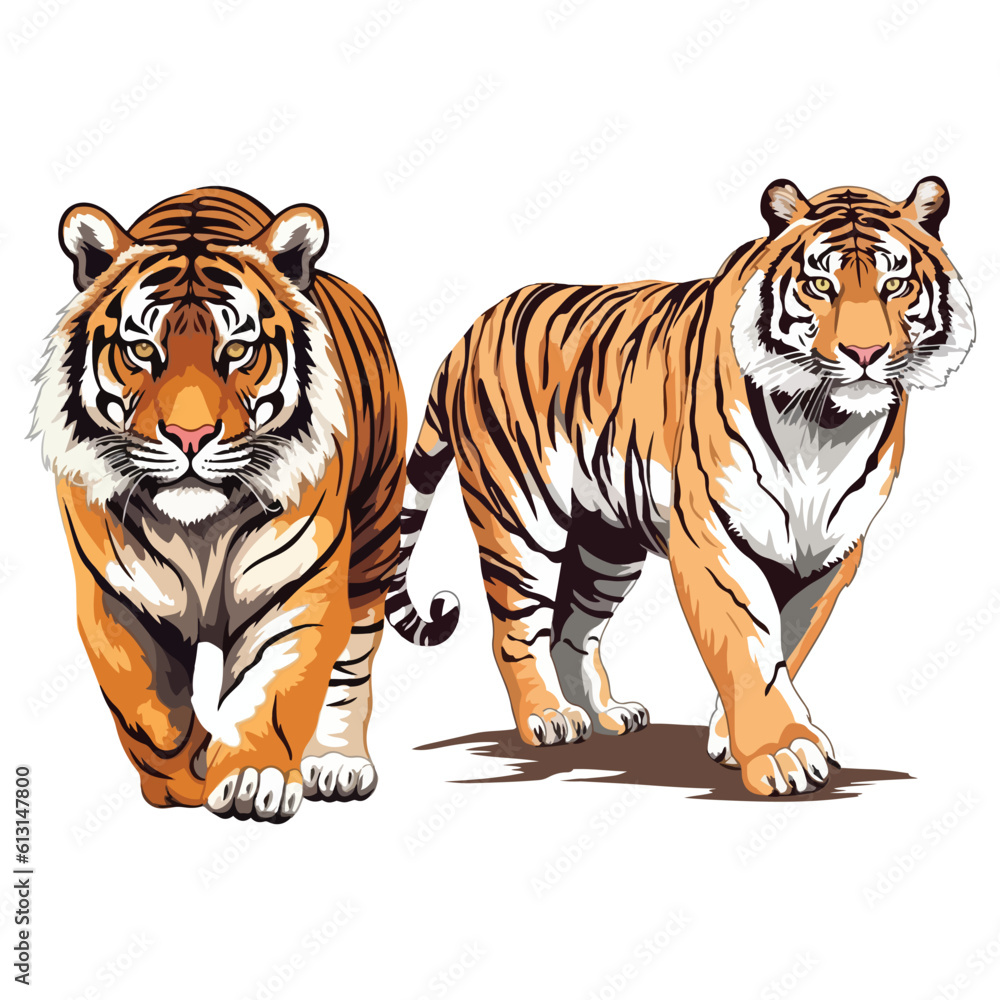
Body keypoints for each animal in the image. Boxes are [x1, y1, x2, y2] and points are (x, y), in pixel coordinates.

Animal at [31, 187, 405, 821]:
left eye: (238, 350)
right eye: (141, 348)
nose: (190, 436)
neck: (199, 529)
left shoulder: (295, 588)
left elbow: (271, 691)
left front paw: (253, 779)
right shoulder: (117, 599)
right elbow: (152, 717)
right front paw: (187, 780)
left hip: (374, 538)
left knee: (355, 655)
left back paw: (337, 764)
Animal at [388, 176, 975, 796]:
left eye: (895, 285)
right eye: (820, 286)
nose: (865, 354)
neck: (826, 426)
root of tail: (470, 330)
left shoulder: (830, 555)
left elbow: (788, 644)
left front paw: (731, 738)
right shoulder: (713, 536)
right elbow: (746, 643)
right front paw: (782, 753)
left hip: (607, 544)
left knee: (572, 627)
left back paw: (607, 714)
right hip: (521, 518)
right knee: (516, 628)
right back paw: (548, 717)